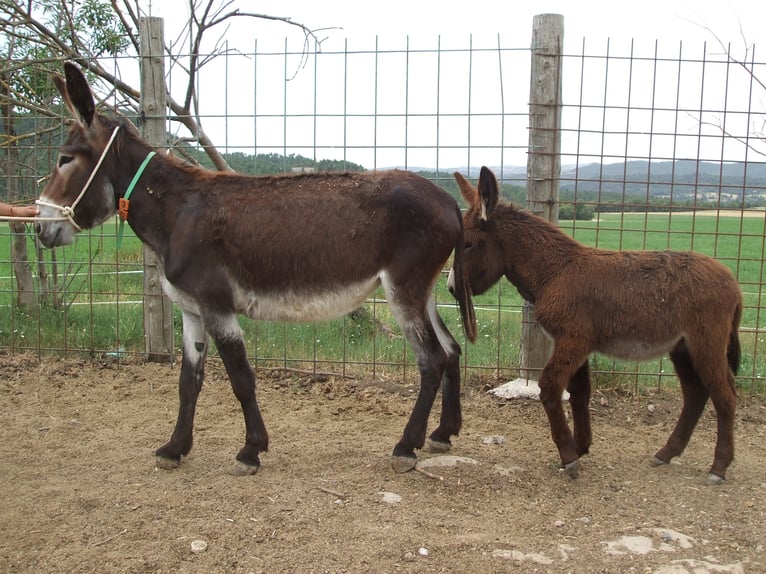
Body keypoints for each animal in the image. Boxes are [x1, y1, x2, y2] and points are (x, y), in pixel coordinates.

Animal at [450, 166, 744, 486]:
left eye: (468, 244)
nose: (451, 288)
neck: (556, 272)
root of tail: (733, 282)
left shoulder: (573, 339)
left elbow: (550, 387)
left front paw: (569, 456)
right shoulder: (574, 343)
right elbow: (579, 393)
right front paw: (580, 447)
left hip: (706, 342)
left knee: (724, 395)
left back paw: (719, 467)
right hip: (682, 347)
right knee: (696, 394)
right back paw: (666, 453)